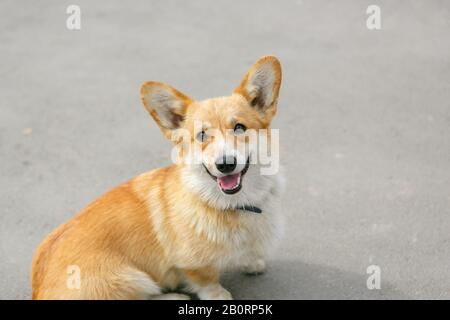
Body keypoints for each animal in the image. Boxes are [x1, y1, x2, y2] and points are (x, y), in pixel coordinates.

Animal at [31, 55, 284, 300]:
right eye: (202, 135)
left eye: (240, 128)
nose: (225, 164)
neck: (232, 203)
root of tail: (38, 291)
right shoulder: (192, 264)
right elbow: (207, 281)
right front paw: (220, 295)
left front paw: (252, 262)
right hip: (132, 277)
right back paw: (174, 297)